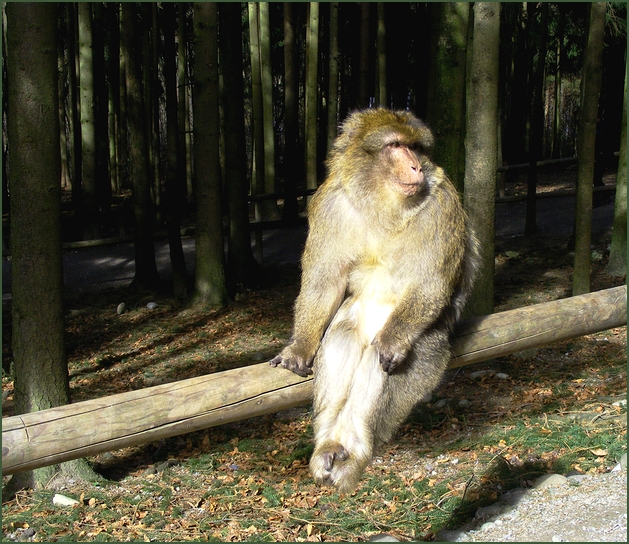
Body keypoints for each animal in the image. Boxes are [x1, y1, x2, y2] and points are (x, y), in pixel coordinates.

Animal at [268, 108, 478, 496]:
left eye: (415, 147)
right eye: (395, 146)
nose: (416, 167)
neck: (383, 202)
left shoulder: (441, 203)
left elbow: (431, 282)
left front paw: (392, 342)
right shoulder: (331, 204)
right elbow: (324, 283)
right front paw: (300, 346)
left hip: (427, 336)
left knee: (391, 358)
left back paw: (354, 444)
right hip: (357, 319)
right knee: (343, 336)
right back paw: (331, 444)